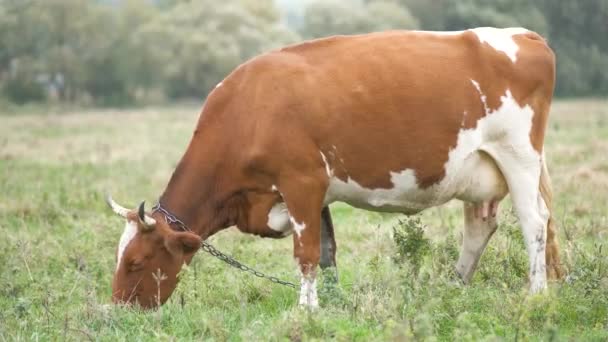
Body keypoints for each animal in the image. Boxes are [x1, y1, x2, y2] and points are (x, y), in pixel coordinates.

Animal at [105, 28, 564, 308]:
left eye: (136, 262)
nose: (119, 310)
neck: (248, 110)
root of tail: (522, 35)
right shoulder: (315, 195)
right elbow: (326, 254)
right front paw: (330, 303)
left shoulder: (301, 182)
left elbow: (305, 254)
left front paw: (304, 311)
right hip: (479, 171)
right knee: (479, 227)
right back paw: (455, 285)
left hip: (518, 156)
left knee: (534, 222)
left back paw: (537, 294)